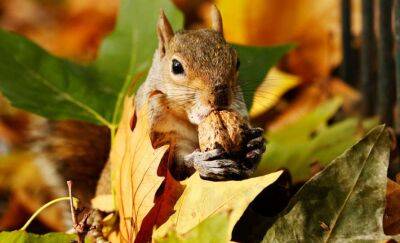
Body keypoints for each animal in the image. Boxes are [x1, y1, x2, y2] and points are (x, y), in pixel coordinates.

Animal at [31, 5, 266, 207]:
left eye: (237, 61)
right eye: (176, 66)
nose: (220, 96)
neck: (190, 122)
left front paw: (255, 146)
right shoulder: (156, 136)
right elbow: (170, 169)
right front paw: (203, 161)